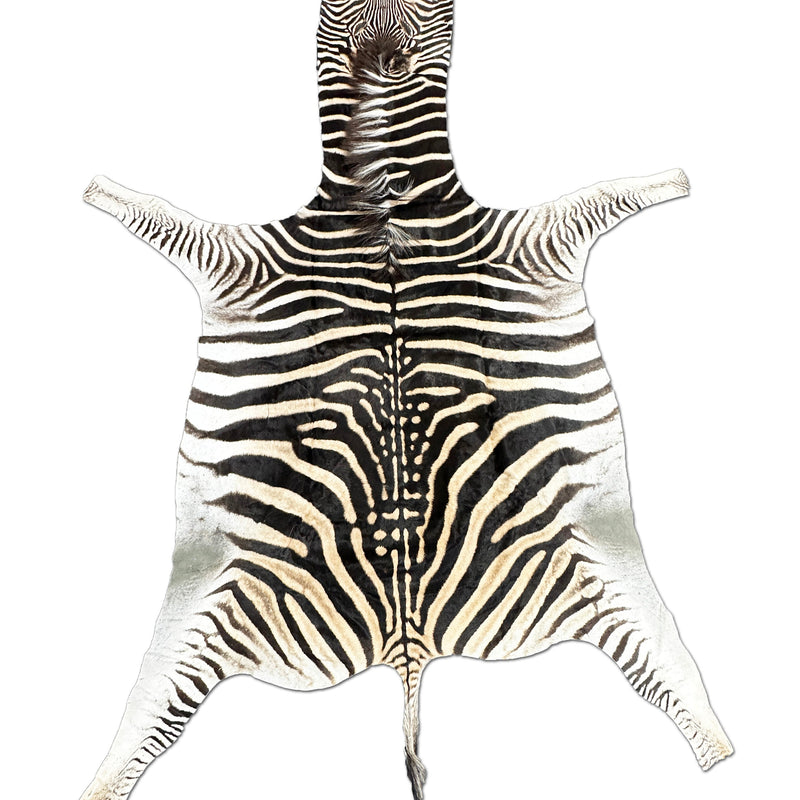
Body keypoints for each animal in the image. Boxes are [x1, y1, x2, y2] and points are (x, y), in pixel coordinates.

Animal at [79, 1, 732, 798]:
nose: (382, 40)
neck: (386, 201)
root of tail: (409, 647)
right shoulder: (238, 256)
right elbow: (157, 216)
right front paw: (101, 191)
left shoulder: (537, 237)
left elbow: (612, 193)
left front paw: (675, 179)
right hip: (217, 597)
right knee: (152, 718)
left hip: (596, 567)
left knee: (664, 671)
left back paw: (719, 750)